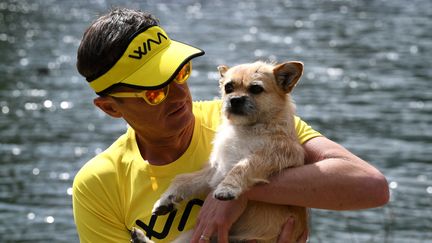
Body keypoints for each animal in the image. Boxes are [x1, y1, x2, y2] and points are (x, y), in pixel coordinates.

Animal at [137, 60, 306, 241]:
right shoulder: (216, 170)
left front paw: (227, 187)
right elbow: (184, 179)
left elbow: (244, 164)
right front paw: (167, 199)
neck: (245, 129)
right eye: (228, 87)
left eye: (256, 89)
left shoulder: (278, 154)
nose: (235, 100)